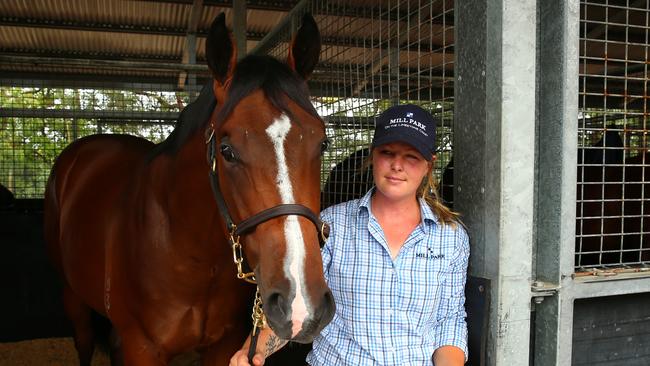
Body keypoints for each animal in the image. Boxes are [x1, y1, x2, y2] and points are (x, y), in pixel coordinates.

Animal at [44, 12, 334, 364]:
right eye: (226, 150)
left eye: (322, 143)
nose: (301, 305)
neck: (191, 254)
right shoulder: (142, 347)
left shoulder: (222, 345)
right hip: (72, 294)